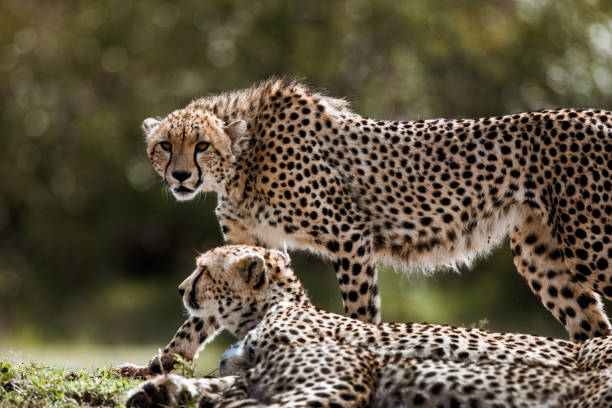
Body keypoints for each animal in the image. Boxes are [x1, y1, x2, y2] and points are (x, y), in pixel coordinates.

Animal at [143, 77, 612, 342]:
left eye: (202, 145)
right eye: (164, 145)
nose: (180, 176)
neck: (243, 158)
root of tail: (598, 113)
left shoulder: (348, 234)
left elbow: (360, 309)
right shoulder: (252, 248)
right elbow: (199, 318)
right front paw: (159, 368)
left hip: (592, 247)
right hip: (541, 257)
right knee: (594, 330)